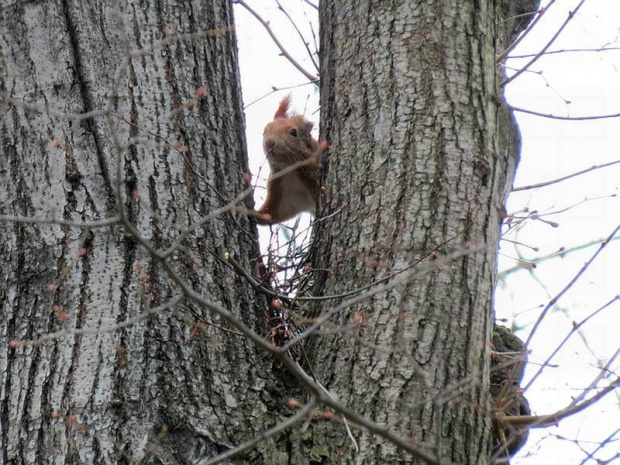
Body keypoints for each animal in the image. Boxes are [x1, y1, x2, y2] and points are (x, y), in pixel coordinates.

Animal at [256, 95, 324, 224]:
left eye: (294, 132)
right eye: (265, 130)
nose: (270, 143)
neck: (289, 168)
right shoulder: (283, 196)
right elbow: (273, 212)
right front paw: (254, 214)